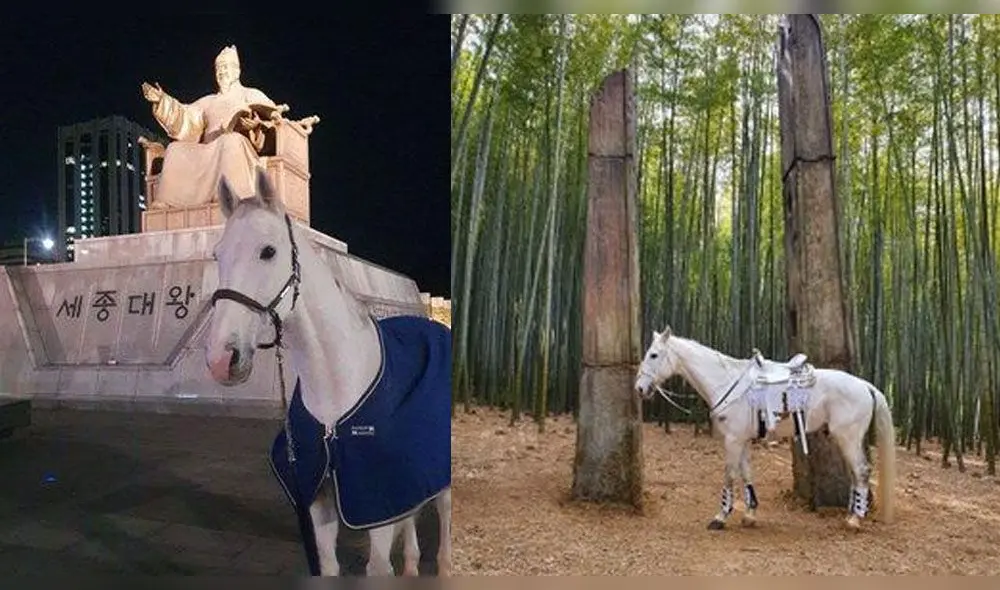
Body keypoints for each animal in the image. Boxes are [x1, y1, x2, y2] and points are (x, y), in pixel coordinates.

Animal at [203, 170, 452, 576]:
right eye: (217, 254)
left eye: (268, 251)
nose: (221, 359)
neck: (337, 389)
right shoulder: (320, 502)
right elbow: (329, 565)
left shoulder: (374, 502)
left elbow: (378, 567)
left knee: (443, 510)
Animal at [633, 326, 896, 532]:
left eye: (654, 355)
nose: (640, 388)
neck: (726, 382)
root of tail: (866, 386)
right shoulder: (742, 440)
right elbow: (747, 474)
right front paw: (749, 515)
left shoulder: (732, 440)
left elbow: (729, 475)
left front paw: (721, 517)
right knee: (855, 474)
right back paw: (852, 514)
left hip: (848, 438)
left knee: (861, 471)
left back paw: (854, 520)